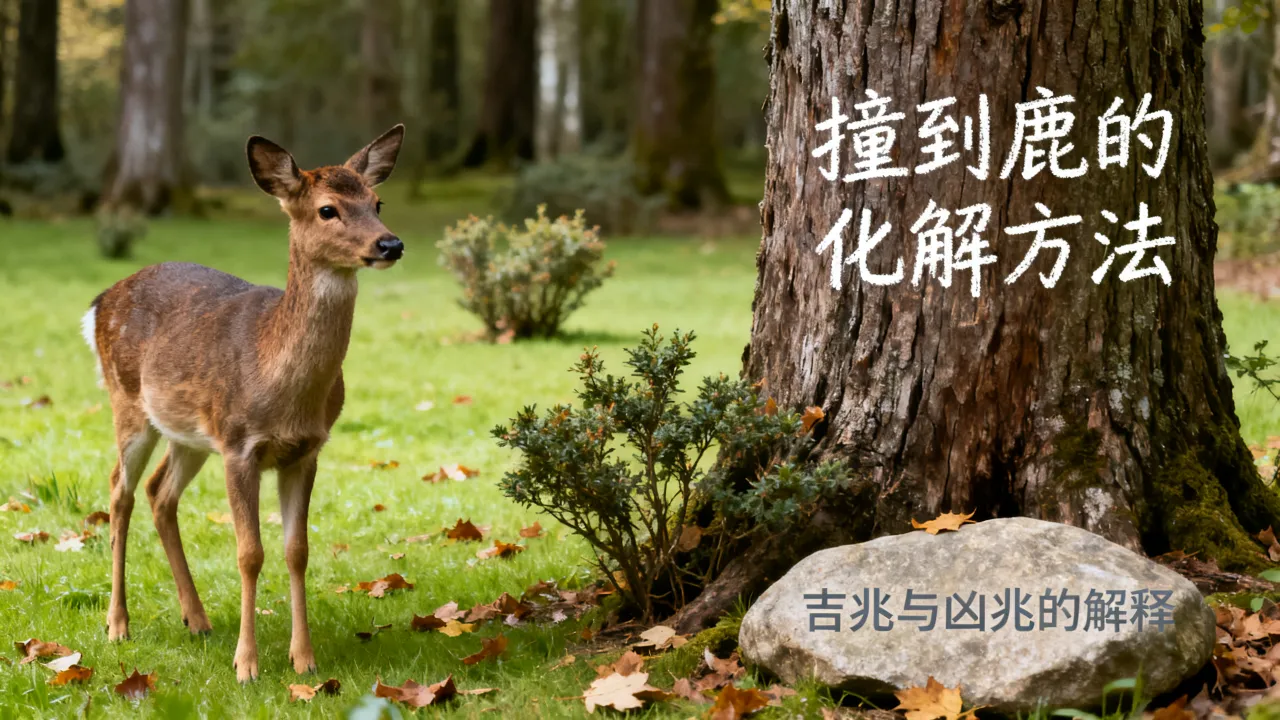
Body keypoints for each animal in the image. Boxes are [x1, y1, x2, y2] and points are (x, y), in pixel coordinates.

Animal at [81, 125, 406, 682]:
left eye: (377, 201)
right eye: (327, 209)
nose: (391, 243)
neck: (279, 382)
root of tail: (100, 301)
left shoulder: (306, 450)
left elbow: (297, 550)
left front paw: (304, 660)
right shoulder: (239, 445)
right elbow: (249, 553)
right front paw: (247, 665)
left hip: (189, 432)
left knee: (159, 492)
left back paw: (197, 619)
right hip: (128, 404)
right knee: (119, 492)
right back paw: (117, 624)